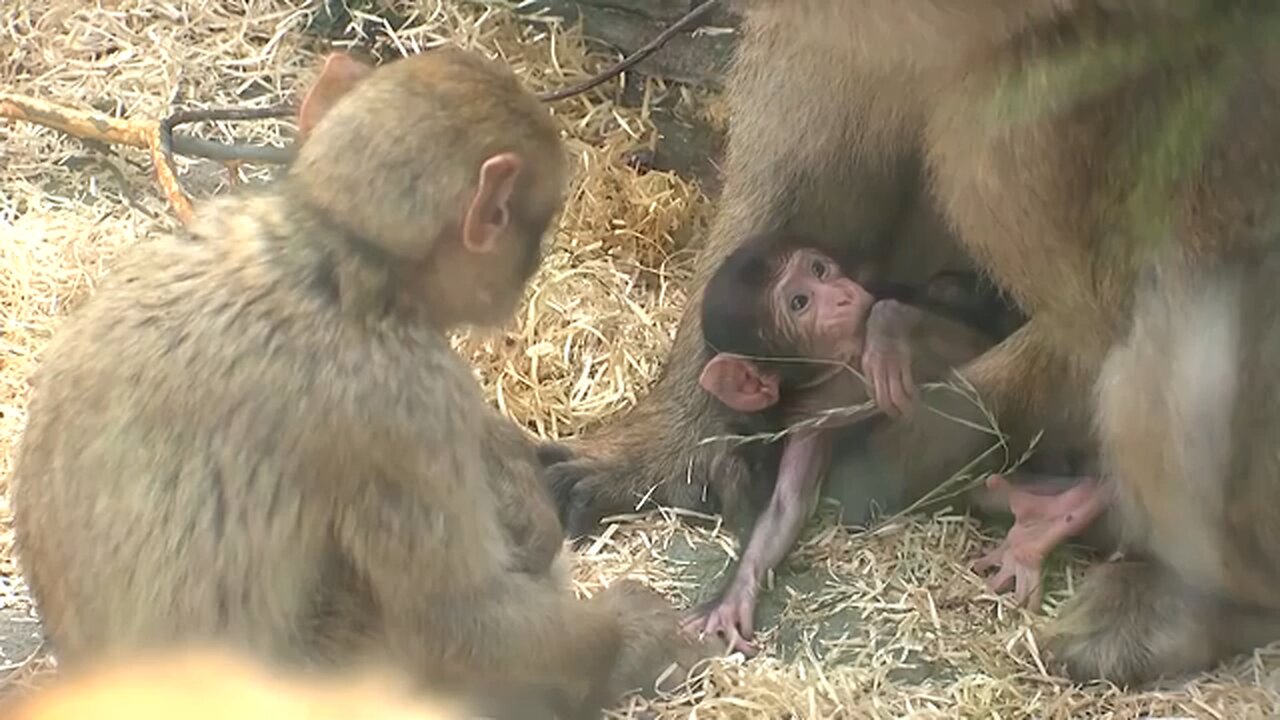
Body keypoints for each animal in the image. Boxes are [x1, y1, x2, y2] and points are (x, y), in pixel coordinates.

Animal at [683, 233, 1003, 653]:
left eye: (820, 270)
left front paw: (888, 329)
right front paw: (732, 598)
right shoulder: (810, 421)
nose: (842, 294)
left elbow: (968, 341)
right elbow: (788, 505)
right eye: (800, 302)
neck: (840, 373)